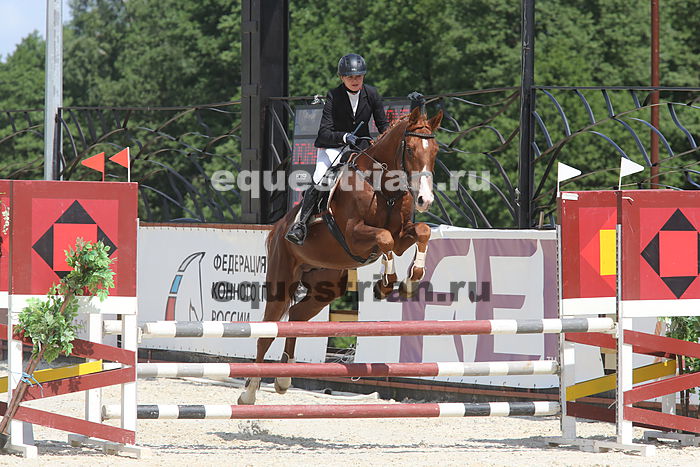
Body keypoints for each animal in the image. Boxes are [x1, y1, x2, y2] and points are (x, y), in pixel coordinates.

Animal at [238, 106, 443, 404]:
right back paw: (249, 392)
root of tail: (276, 230)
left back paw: (284, 378)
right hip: (281, 279)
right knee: (267, 331)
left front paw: (410, 280)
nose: (425, 200)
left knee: (296, 316)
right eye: (412, 149)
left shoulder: (402, 237)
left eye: (435, 150)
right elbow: (384, 237)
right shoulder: (355, 236)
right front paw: (385, 284)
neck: (382, 187)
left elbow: (422, 231)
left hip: (327, 285)